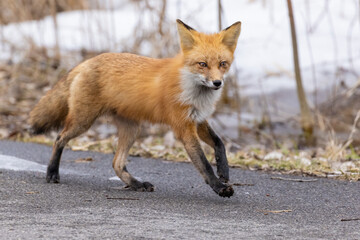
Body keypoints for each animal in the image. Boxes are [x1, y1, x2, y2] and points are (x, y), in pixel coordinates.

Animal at [28, 19, 242, 198]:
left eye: (223, 64)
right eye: (202, 64)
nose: (217, 83)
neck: (191, 88)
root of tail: (87, 61)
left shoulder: (197, 119)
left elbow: (219, 142)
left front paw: (224, 170)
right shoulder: (183, 127)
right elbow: (204, 164)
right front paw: (219, 187)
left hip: (131, 128)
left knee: (116, 163)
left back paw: (136, 184)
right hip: (83, 122)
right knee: (58, 138)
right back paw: (52, 172)